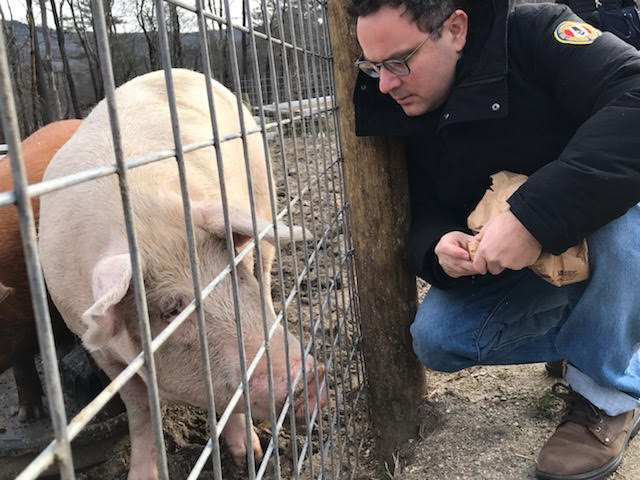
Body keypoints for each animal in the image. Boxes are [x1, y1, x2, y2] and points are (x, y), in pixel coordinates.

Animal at [38, 69, 324, 478]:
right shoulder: (97, 347)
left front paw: (250, 456)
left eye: (234, 272)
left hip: (262, 193)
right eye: (171, 310)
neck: (145, 223)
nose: (307, 374)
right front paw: (141, 474)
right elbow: (140, 407)